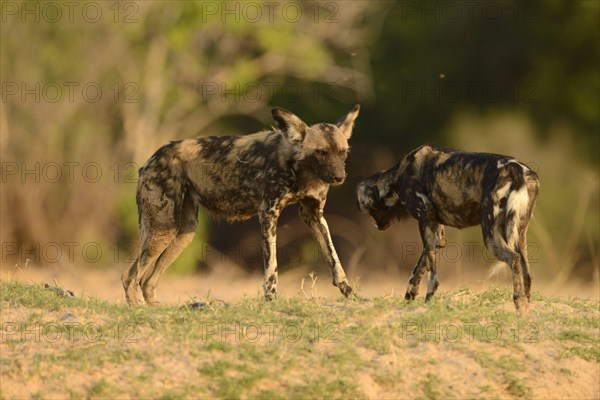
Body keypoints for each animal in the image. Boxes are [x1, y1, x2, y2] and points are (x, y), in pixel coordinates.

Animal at [119, 104, 358, 304]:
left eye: (343, 153)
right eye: (321, 152)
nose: (339, 177)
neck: (301, 170)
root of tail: (152, 157)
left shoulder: (313, 215)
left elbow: (333, 257)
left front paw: (349, 291)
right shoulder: (268, 214)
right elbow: (272, 267)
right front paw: (271, 298)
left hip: (183, 233)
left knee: (146, 282)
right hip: (163, 228)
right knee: (129, 277)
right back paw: (138, 312)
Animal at [356, 145, 540, 310]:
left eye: (367, 208)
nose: (378, 226)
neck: (399, 176)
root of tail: (517, 169)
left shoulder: (425, 217)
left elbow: (431, 273)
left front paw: (428, 299)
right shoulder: (438, 237)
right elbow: (418, 270)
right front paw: (410, 297)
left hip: (491, 235)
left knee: (514, 259)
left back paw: (518, 302)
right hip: (519, 236)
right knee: (527, 272)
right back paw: (525, 306)